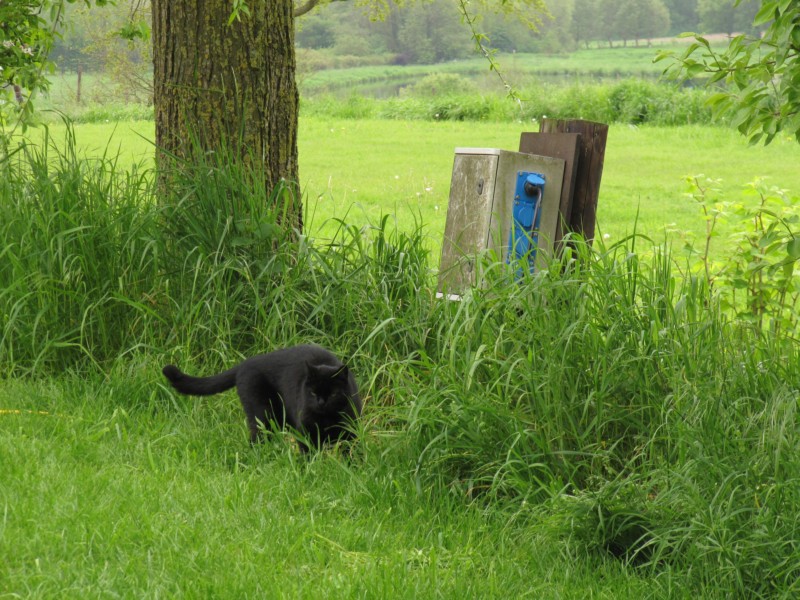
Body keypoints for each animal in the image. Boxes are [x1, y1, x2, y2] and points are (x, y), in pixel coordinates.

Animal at [162, 342, 362, 450]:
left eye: (333, 393)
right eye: (313, 392)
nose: (321, 402)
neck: (326, 418)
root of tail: (246, 363)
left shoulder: (350, 429)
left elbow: (351, 451)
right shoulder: (305, 430)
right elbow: (308, 452)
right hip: (263, 416)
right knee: (255, 440)